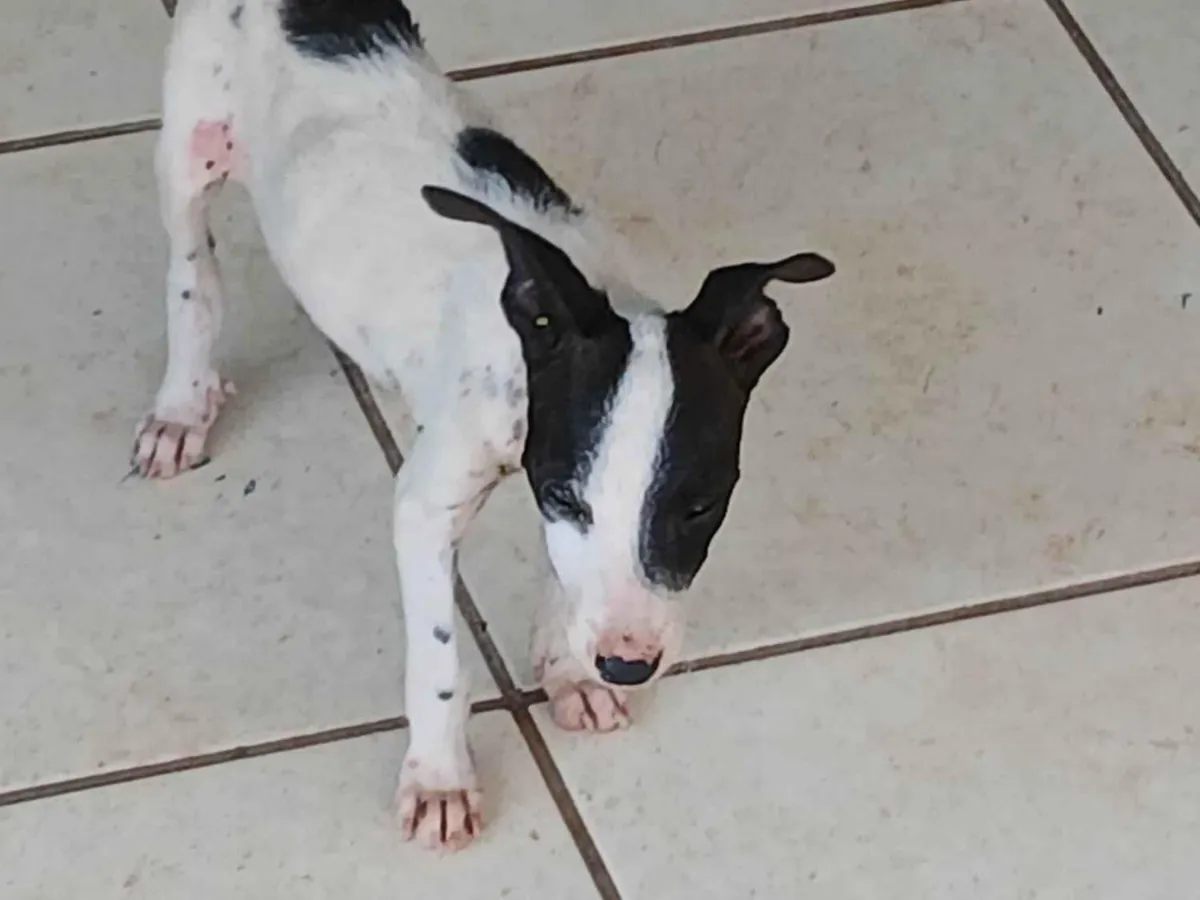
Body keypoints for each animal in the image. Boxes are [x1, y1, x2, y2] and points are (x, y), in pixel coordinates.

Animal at [138, 0, 835, 852]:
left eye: (701, 506)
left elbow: (565, 582)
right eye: (571, 498)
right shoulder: (430, 505)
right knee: (191, 274)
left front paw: (569, 673)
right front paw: (440, 778)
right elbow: (442, 660)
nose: (628, 665)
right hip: (191, 139)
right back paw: (182, 403)